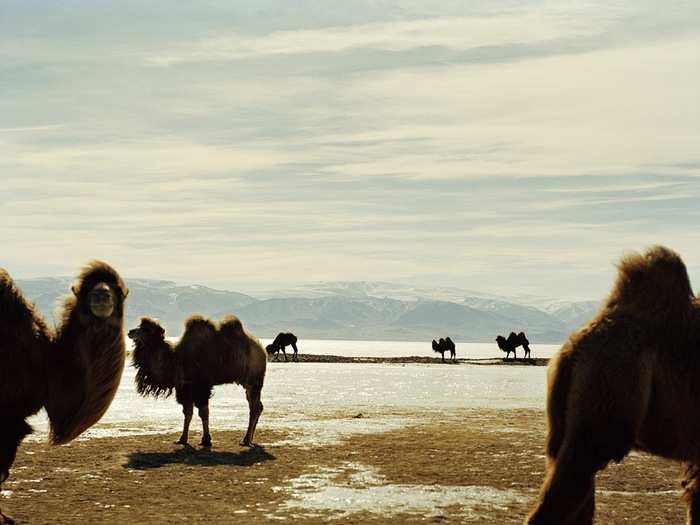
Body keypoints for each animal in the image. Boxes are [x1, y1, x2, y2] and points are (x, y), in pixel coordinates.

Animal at [128, 314, 266, 448]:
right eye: (139, 326)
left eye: (147, 329)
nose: (130, 331)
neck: (175, 359)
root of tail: (262, 350)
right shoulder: (185, 387)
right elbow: (188, 413)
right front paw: (182, 439)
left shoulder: (201, 387)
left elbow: (203, 412)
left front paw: (206, 440)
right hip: (249, 384)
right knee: (258, 406)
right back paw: (249, 440)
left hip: (254, 381)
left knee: (254, 408)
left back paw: (246, 440)